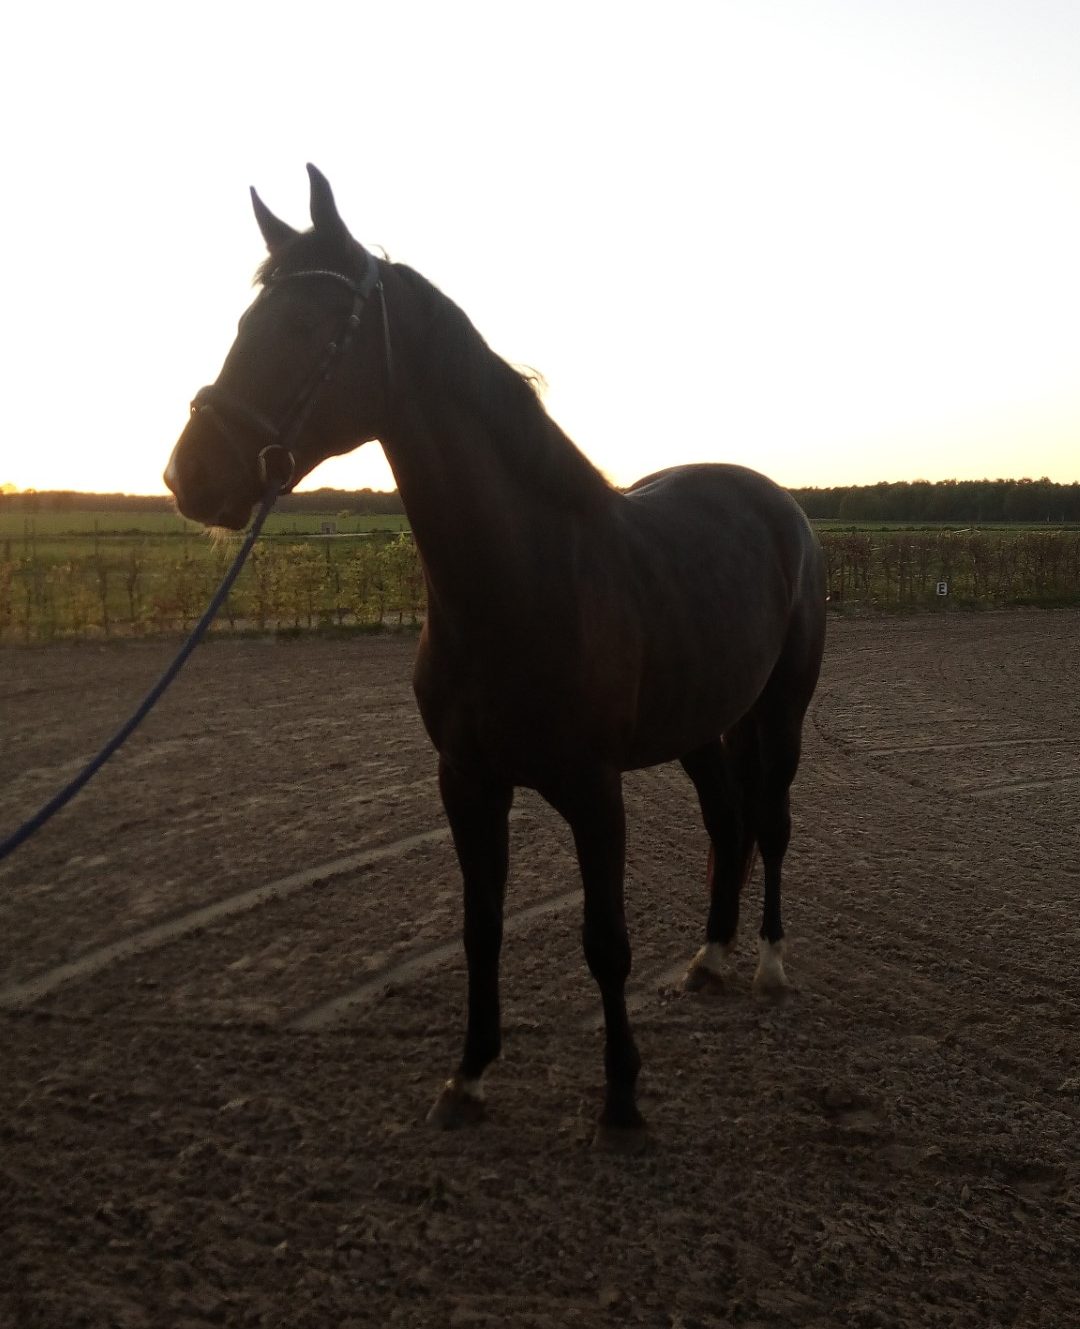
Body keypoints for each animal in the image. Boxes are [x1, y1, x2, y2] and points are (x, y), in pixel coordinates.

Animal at [165, 165, 826, 1150]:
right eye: (246, 323)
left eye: (308, 329)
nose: (190, 476)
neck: (522, 580)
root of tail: (778, 504)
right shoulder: (466, 780)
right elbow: (483, 927)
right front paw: (469, 1075)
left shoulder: (594, 789)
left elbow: (605, 940)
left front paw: (621, 1096)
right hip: (702, 726)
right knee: (727, 821)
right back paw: (711, 955)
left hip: (780, 713)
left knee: (772, 822)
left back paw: (770, 965)